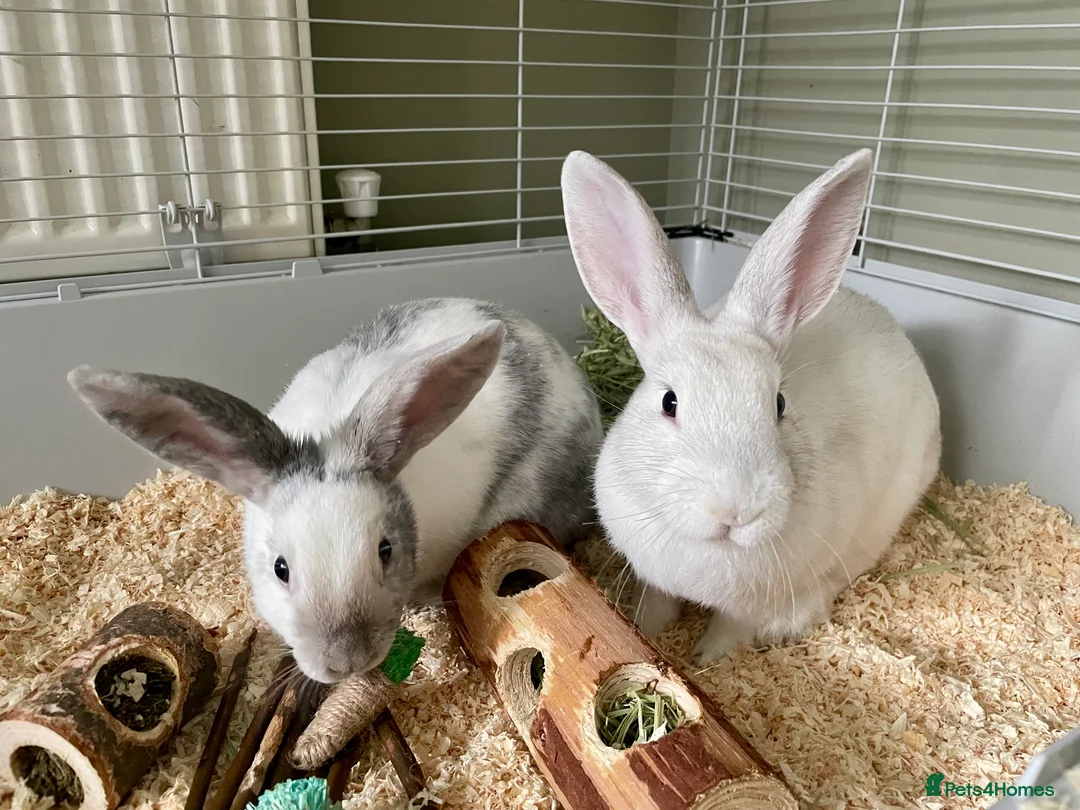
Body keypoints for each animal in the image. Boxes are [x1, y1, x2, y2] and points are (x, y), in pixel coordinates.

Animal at [560, 149, 941, 663]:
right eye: (669, 401)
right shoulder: (652, 576)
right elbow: (655, 605)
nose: (735, 511)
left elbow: (731, 627)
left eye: (779, 403)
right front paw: (646, 631)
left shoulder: (750, 604)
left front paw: (705, 659)